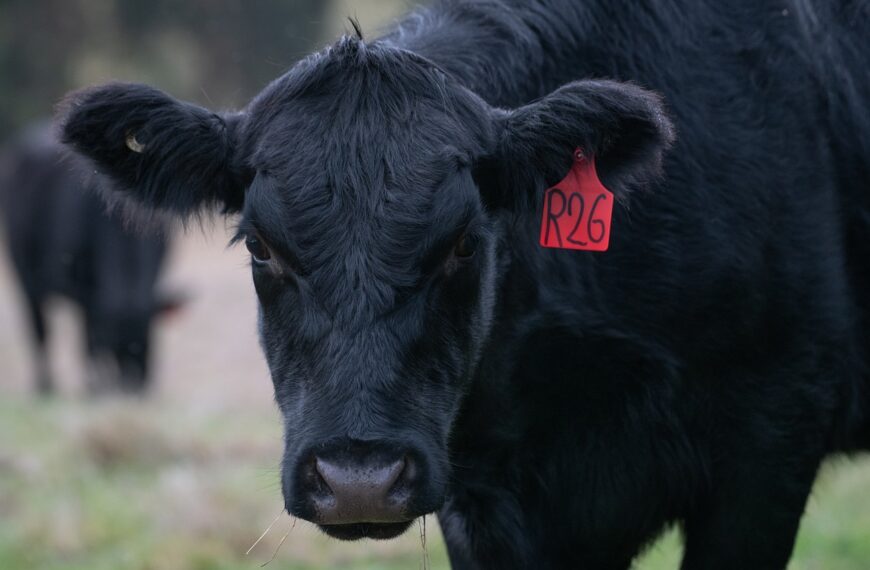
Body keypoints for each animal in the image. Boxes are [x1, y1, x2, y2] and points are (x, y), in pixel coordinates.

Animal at [0, 122, 177, 392]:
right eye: (114, 341)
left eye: (149, 333)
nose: (134, 386)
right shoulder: (85, 293)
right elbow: (89, 342)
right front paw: (95, 387)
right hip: (26, 277)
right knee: (40, 331)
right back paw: (46, 385)